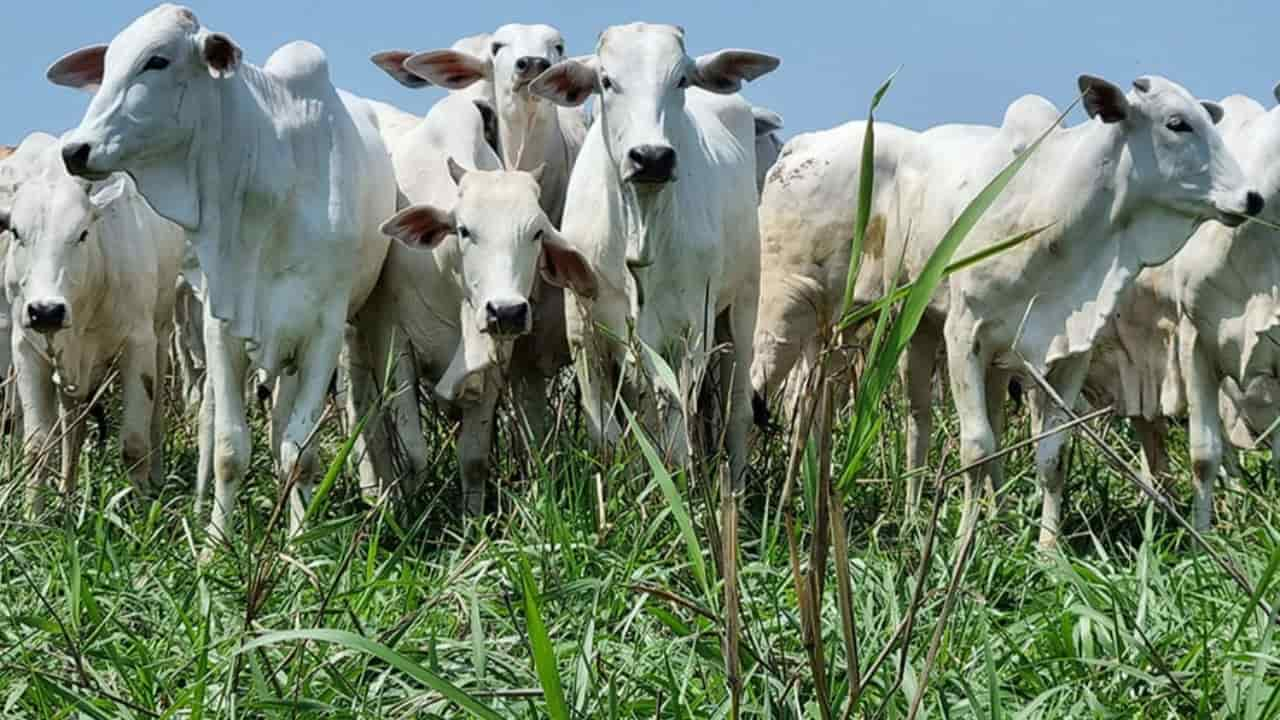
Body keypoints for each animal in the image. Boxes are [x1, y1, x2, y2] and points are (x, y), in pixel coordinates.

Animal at [0, 141, 185, 509]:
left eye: (82, 234)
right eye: (16, 233)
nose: (46, 311)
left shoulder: (138, 346)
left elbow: (134, 445)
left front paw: (139, 511)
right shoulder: (26, 351)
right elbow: (37, 448)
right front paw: (31, 515)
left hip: (161, 337)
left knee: (155, 419)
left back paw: (156, 480)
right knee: (72, 428)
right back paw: (66, 494)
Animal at [48, 4, 399, 532]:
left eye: (157, 60)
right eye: (106, 66)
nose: (75, 150)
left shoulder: (324, 330)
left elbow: (300, 453)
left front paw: (298, 540)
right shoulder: (222, 324)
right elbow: (229, 448)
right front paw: (216, 541)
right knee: (219, 423)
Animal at [529, 22, 778, 481]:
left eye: (680, 79)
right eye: (606, 80)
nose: (652, 157)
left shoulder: (689, 332)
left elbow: (676, 441)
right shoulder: (585, 332)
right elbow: (608, 437)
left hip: (741, 307)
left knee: (734, 414)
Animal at [936, 75, 1264, 540]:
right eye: (1177, 123)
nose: (1251, 198)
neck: (1049, 222)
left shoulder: (1072, 350)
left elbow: (1052, 456)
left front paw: (1048, 546)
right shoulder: (962, 336)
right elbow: (976, 450)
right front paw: (964, 542)